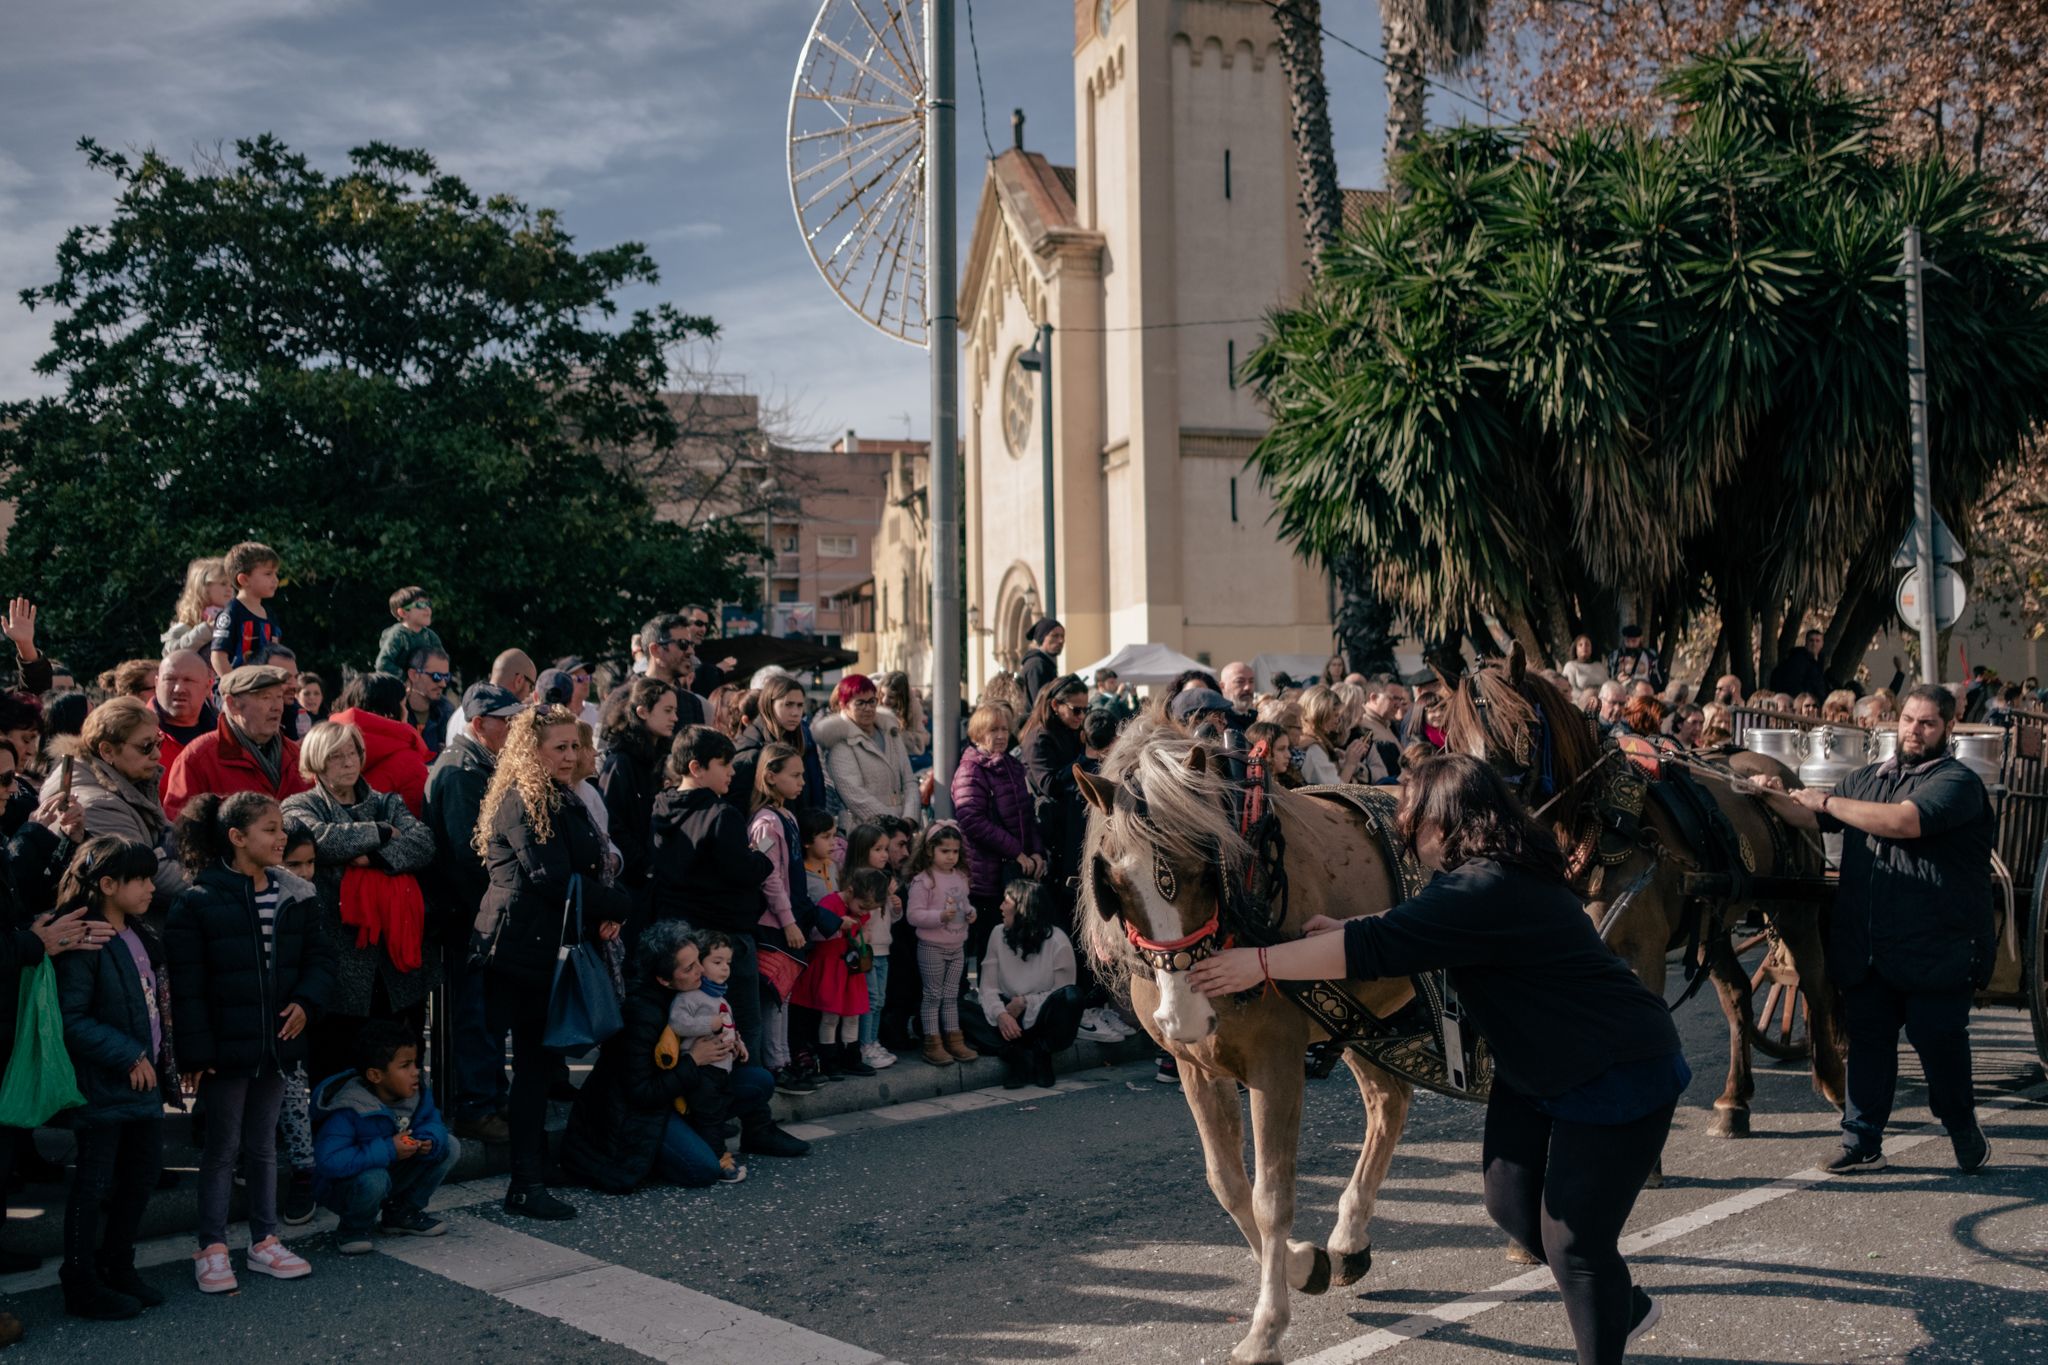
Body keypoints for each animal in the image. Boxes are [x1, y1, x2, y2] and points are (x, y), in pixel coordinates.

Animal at [1073, 720, 1425, 1358]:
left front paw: (1266, 1328)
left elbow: (1271, 1198)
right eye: (1113, 881)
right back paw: (1348, 1238)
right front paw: (1303, 1264)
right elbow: (1229, 1186)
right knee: (1389, 1102)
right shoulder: (1196, 1066)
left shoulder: (1276, 1064)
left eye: (1199, 867)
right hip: (1365, 1016)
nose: (1183, 1014)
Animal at [1433, 646, 1851, 1137]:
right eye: (1452, 741)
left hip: (1793, 908)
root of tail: (1779, 776)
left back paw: (1833, 1082)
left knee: (1815, 981)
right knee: (1738, 996)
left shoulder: (1641, 955)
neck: (1596, 829)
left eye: (1524, 728)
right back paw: (1734, 1101)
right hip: (1712, 923)